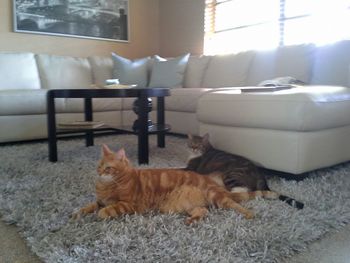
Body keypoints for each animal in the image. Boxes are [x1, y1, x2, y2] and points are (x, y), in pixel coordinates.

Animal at [74, 144, 278, 225]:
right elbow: (89, 206)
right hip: (188, 206)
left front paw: (100, 214)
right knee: (203, 211)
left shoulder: (128, 205)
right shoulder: (99, 200)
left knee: (234, 205)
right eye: (99, 166)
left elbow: (106, 210)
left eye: (108, 168)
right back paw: (192, 221)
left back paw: (248, 213)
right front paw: (78, 213)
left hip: (218, 198)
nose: (99, 172)